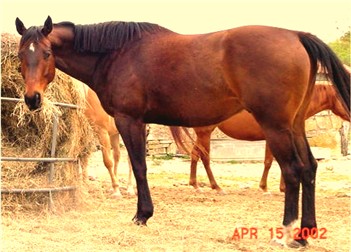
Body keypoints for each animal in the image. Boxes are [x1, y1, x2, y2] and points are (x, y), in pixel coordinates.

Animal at [188, 84, 350, 193]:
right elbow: (270, 162)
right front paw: (266, 187)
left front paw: (282, 187)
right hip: (205, 133)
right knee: (205, 157)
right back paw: (216, 186)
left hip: (201, 135)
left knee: (194, 154)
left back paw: (195, 184)